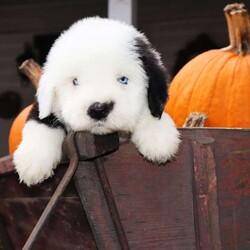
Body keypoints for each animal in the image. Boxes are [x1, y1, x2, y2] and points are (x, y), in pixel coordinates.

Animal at [13, 17, 181, 186]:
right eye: (75, 81)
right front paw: (33, 161)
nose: (99, 109)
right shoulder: (43, 108)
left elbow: (149, 113)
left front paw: (158, 138)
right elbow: (41, 120)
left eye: (123, 79)